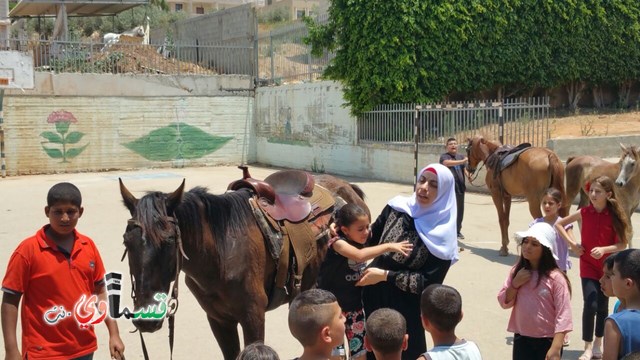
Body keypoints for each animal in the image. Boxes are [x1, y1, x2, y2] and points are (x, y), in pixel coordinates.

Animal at [119, 172, 368, 360]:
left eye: (169, 241)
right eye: (126, 242)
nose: (146, 320)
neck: (221, 252)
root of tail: (346, 186)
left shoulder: (253, 316)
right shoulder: (218, 320)